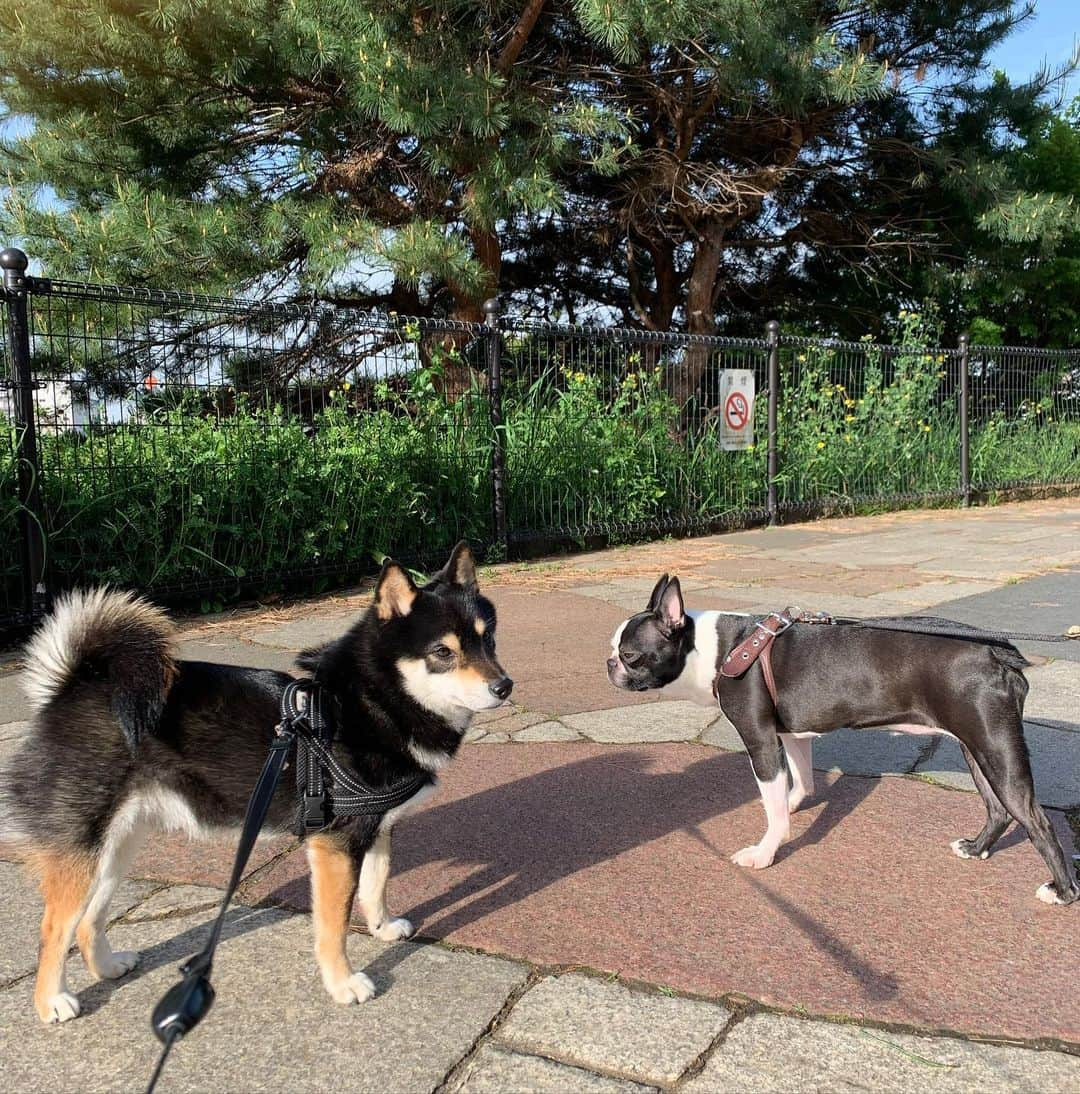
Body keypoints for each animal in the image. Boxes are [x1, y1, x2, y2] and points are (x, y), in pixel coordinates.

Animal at [0, 542, 514, 1019]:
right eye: (443, 652)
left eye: (488, 641)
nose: (504, 686)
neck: (370, 703)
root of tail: (71, 687)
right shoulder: (334, 845)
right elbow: (333, 925)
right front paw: (343, 983)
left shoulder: (375, 827)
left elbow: (376, 885)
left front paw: (382, 927)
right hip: (83, 851)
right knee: (55, 928)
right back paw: (51, 1001)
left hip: (117, 847)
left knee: (89, 919)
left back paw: (107, 968)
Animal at [612, 573, 1076, 905]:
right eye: (616, 651)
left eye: (630, 655)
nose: (609, 664)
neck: (719, 649)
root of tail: (997, 652)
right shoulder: (791, 735)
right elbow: (801, 779)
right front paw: (795, 803)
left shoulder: (761, 743)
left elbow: (773, 806)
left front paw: (765, 852)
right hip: (976, 748)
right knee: (998, 808)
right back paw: (977, 848)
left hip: (995, 747)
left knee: (1036, 819)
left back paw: (1062, 891)